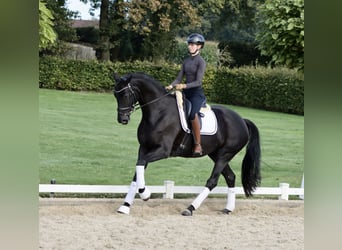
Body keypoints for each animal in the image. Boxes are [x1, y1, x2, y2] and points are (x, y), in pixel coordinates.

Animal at [113, 72, 260, 215]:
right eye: (115, 95)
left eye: (125, 94)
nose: (122, 119)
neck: (159, 112)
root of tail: (242, 120)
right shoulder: (144, 148)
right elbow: (138, 170)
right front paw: (125, 206)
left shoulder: (163, 151)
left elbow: (141, 163)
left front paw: (145, 194)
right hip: (216, 154)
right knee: (230, 177)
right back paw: (228, 209)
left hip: (225, 155)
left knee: (212, 181)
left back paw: (190, 208)